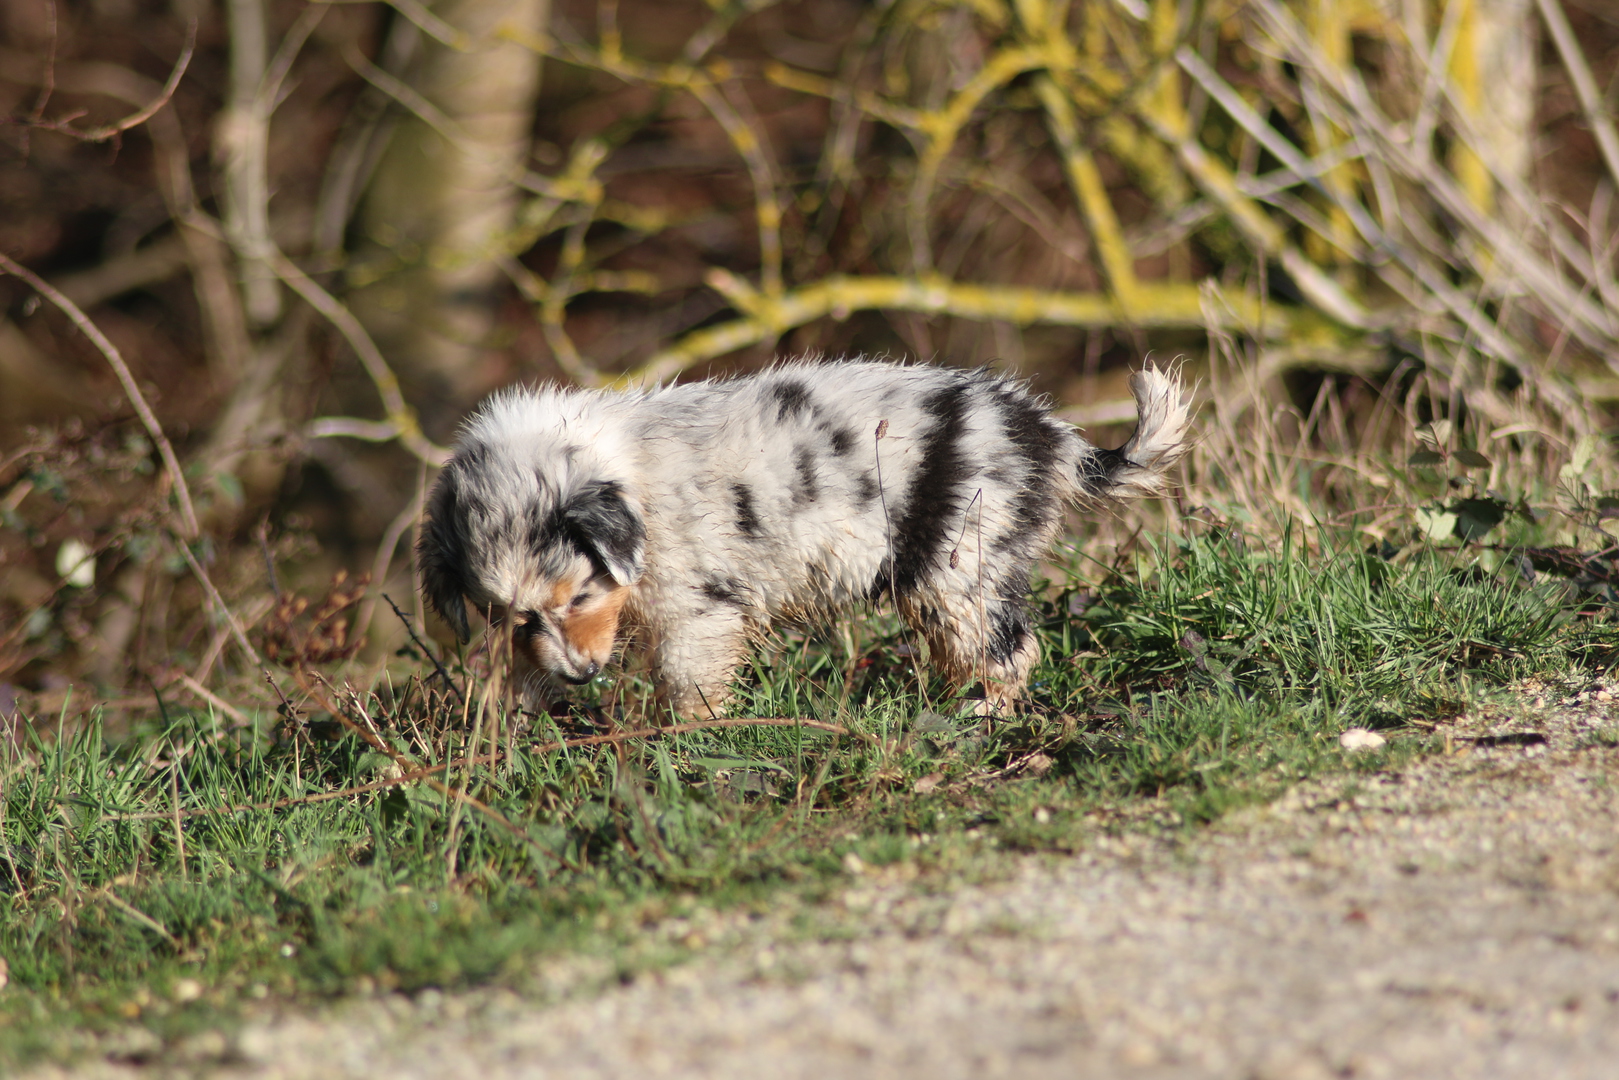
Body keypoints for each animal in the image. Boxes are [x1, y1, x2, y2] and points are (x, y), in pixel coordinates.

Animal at [416, 359, 1191, 718]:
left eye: (579, 596)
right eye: (516, 618)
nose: (581, 675)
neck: (626, 470)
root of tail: (1050, 438)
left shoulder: (697, 612)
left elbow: (689, 684)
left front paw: (684, 738)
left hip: (959, 568)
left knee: (1009, 649)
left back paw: (980, 711)